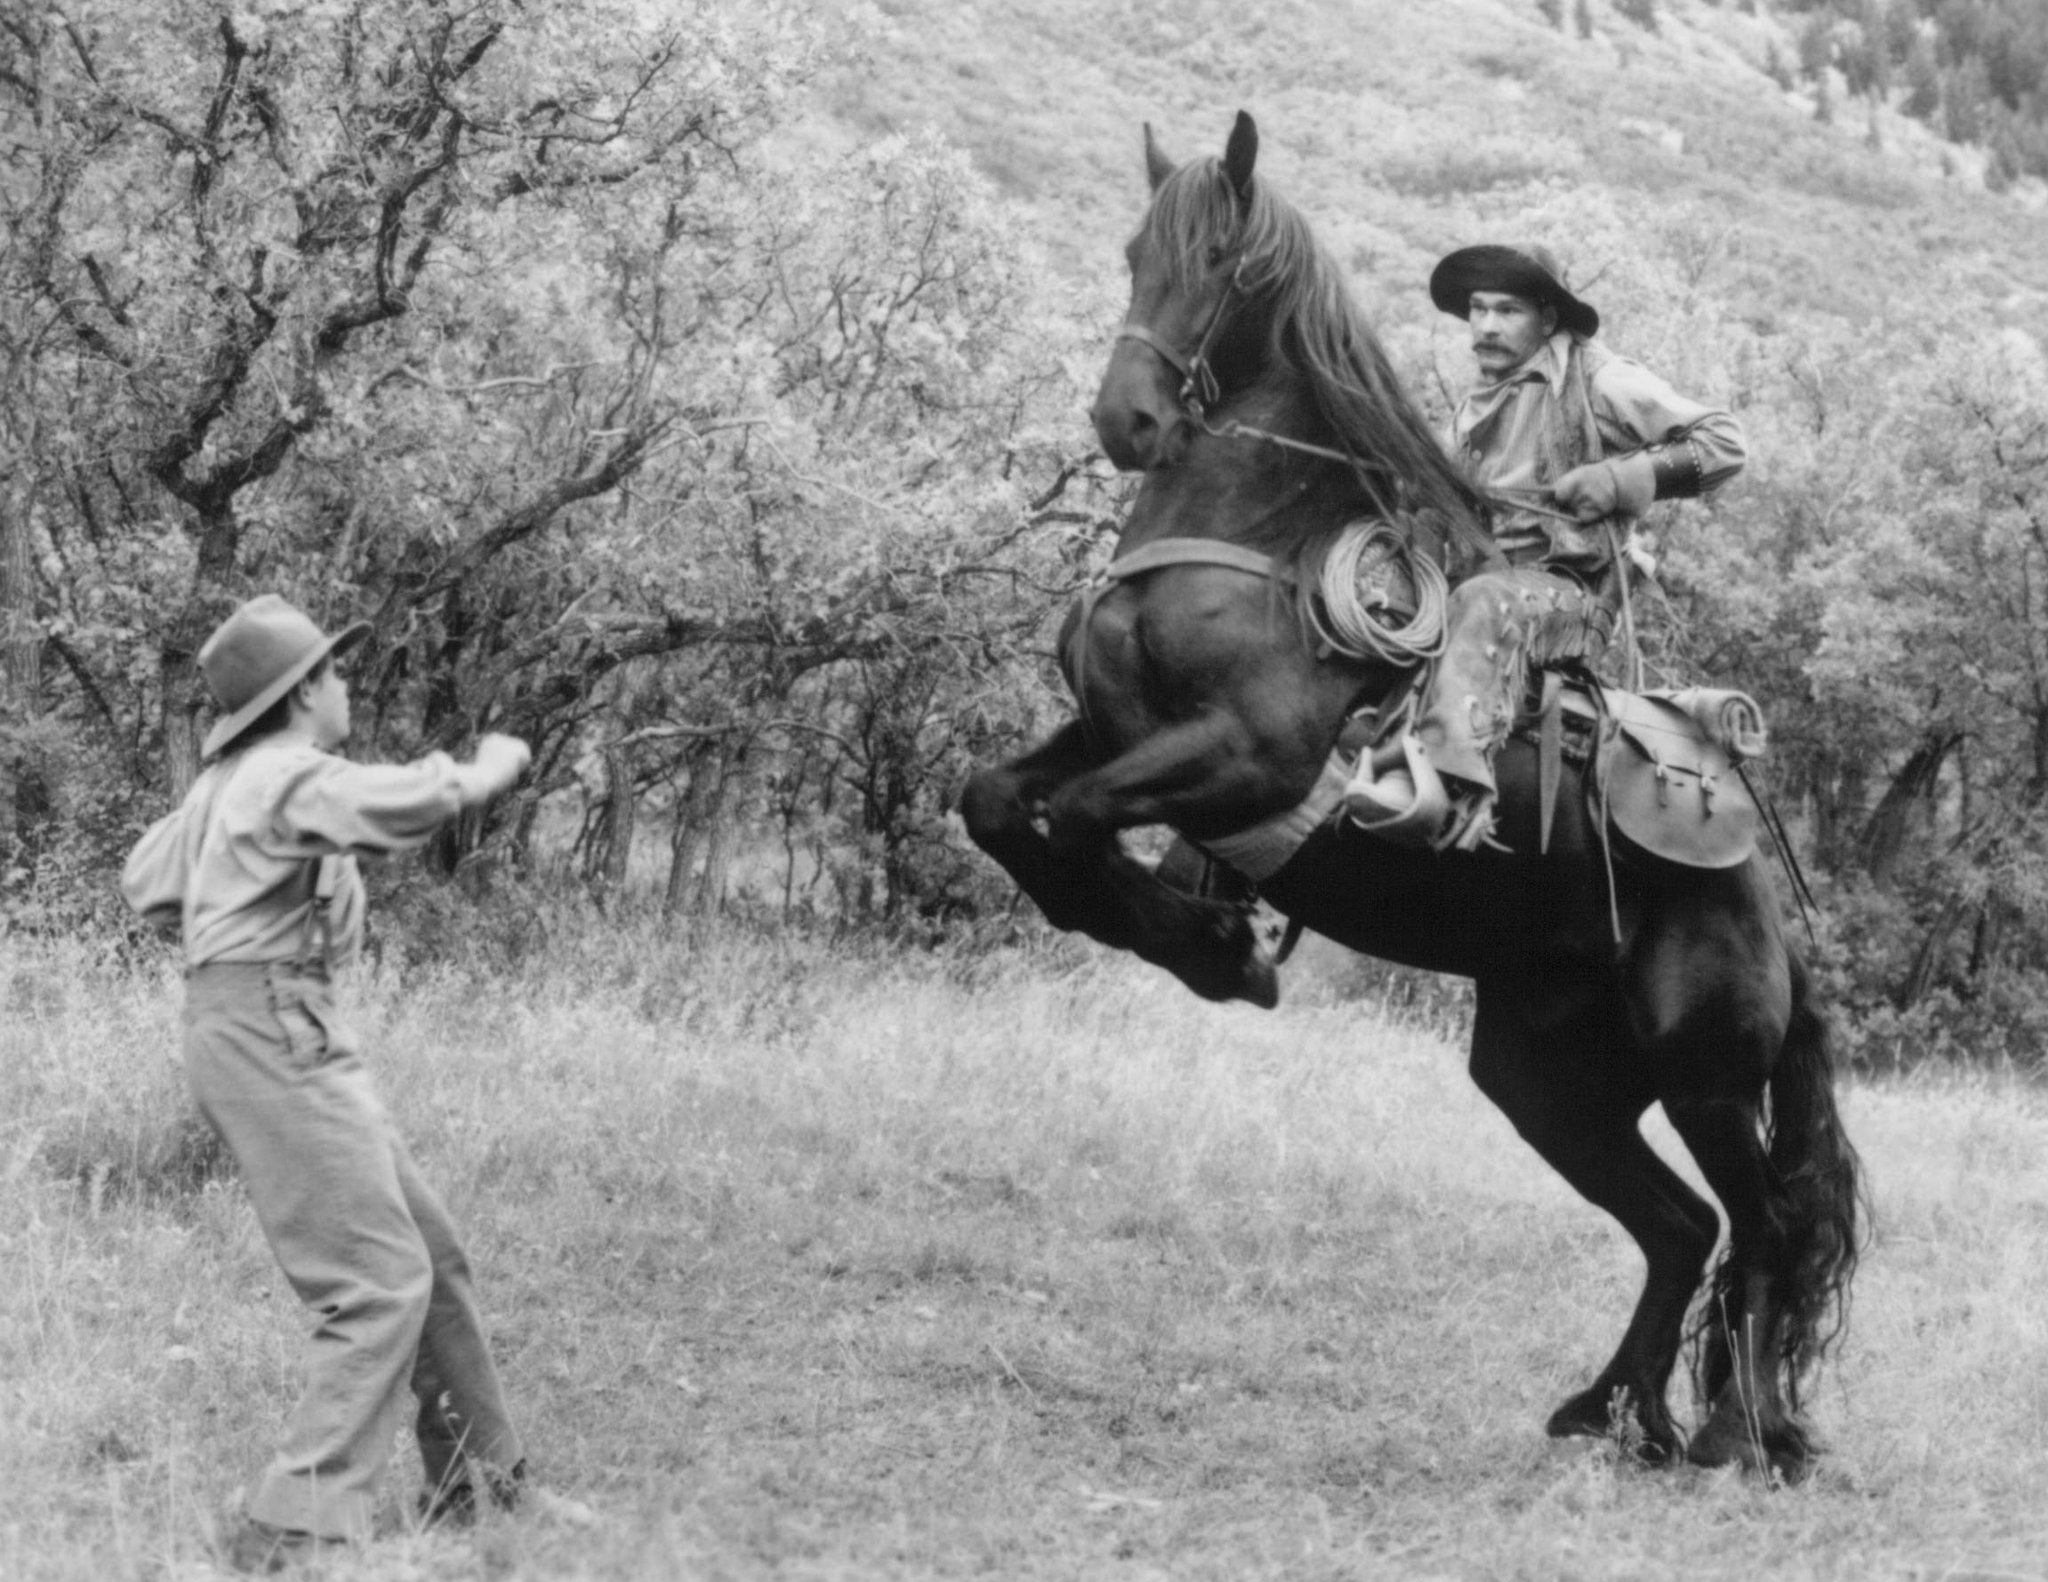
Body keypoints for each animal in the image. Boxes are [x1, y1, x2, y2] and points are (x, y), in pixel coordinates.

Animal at [958, 114, 1859, 1483]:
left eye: (1217, 258)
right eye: (1131, 250)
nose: (1127, 418)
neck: (1259, 546)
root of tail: (1771, 920)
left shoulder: (1242, 757)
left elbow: (1068, 824)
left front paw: (1220, 946)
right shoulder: (1110, 731)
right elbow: (1001, 806)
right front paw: (1215, 936)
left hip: (1703, 1073)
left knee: (1755, 1227)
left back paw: (1734, 1434)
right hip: (1546, 1083)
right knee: (1675, 1226)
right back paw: (1619, 1414)